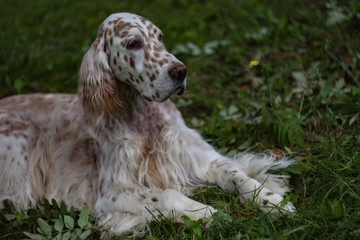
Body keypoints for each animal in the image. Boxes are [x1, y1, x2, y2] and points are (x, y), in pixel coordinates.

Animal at [0, 12, 294, 235]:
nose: (181, 71)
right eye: (133, 43)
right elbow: (165, 194)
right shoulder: (111, 193)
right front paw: (201, 211)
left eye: (159, 37)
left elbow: (240, 177)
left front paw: (273, 201)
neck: (144, 119)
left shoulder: (201, 158)